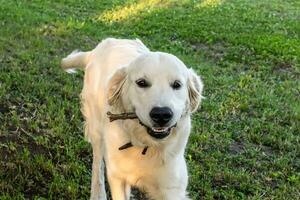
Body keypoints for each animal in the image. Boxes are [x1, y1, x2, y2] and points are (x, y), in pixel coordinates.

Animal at [61, 38, 204, 199]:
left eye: (177, 84)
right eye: (141, 83)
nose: (161, 114)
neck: (145, 144)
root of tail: (98, 48)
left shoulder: (172, 187)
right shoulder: (117, 178)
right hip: (96, 130)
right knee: (97, 164)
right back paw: (98, 193)